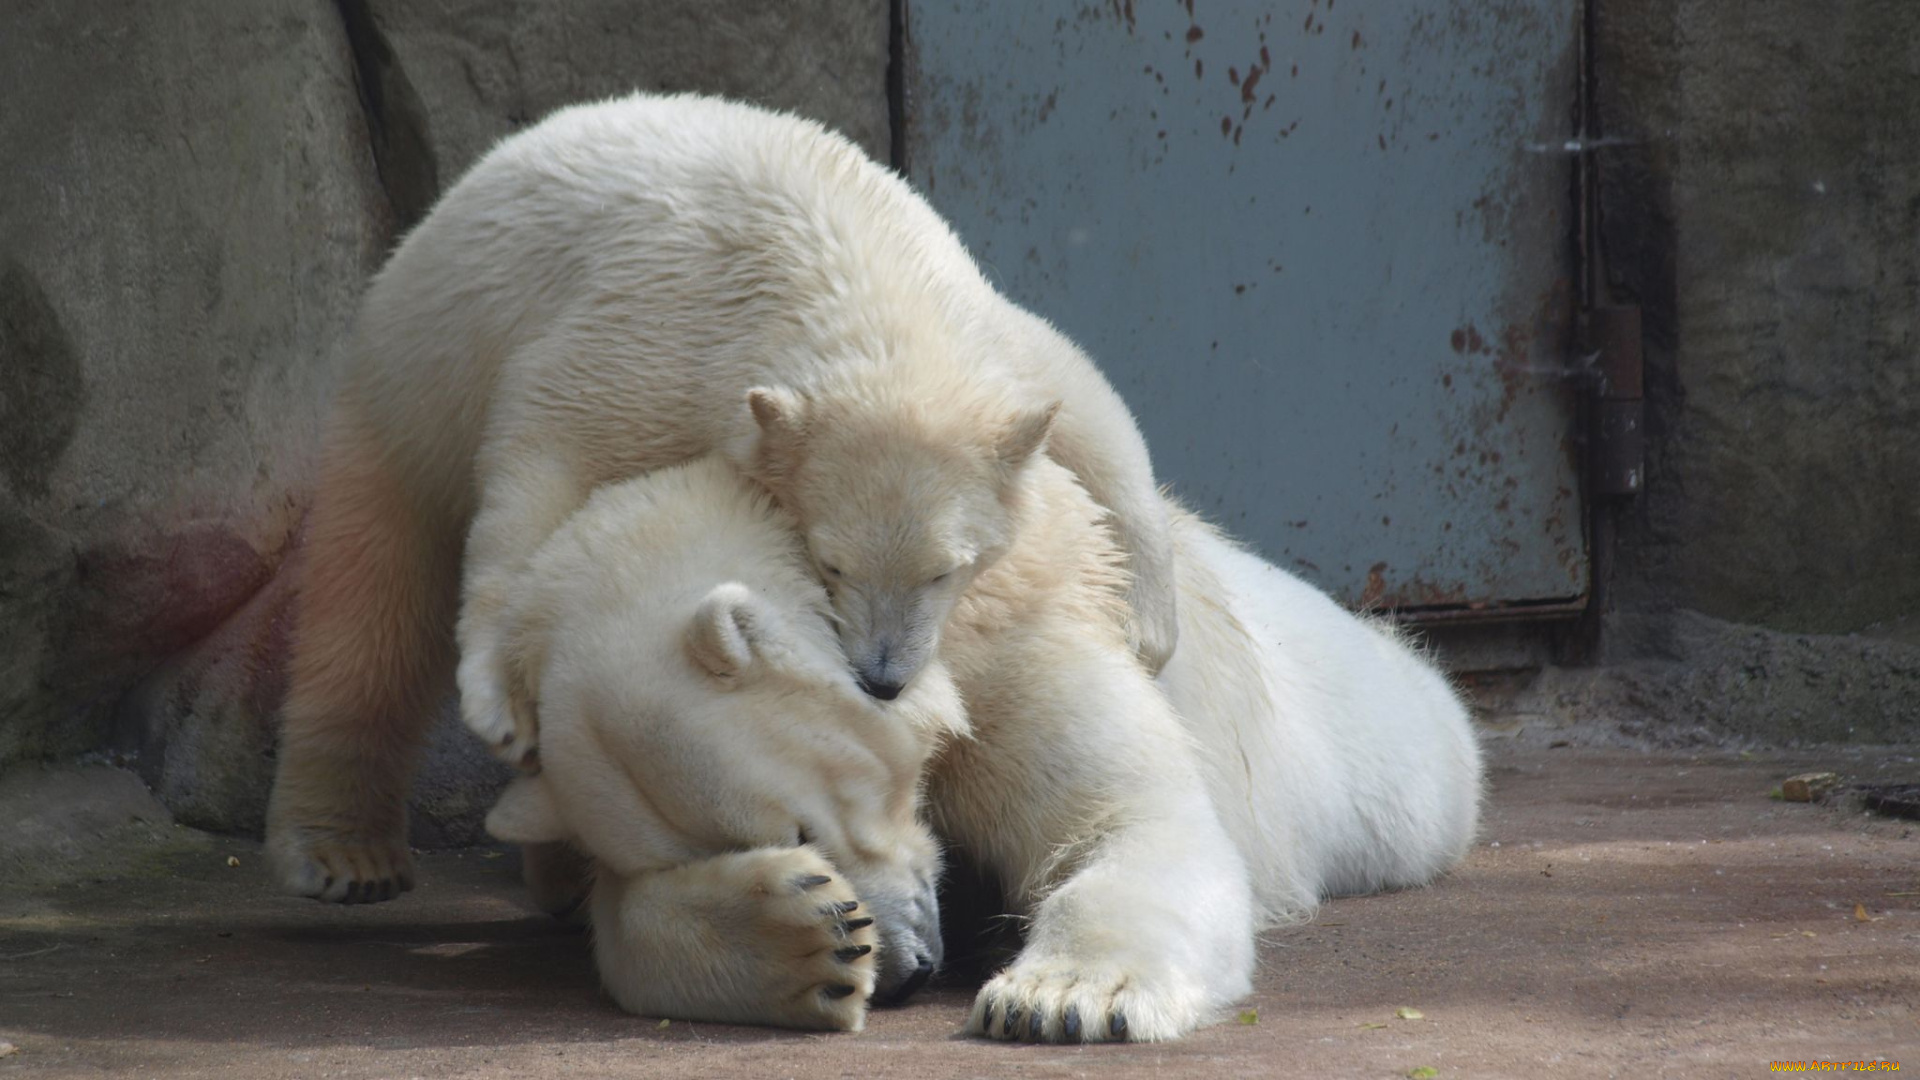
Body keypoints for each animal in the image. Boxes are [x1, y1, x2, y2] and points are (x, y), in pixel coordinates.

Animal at [263, 90, 1175, 899]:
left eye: (947, 570)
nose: (882, 679)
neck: (840, 256)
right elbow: (541, 464)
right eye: (831, 564)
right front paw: (499, 705)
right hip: (411, 377)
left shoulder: (982, 327)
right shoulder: (656, 334)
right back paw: (345, 854)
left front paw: (1150, 624)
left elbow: (1087, 399)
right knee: (372, 587)